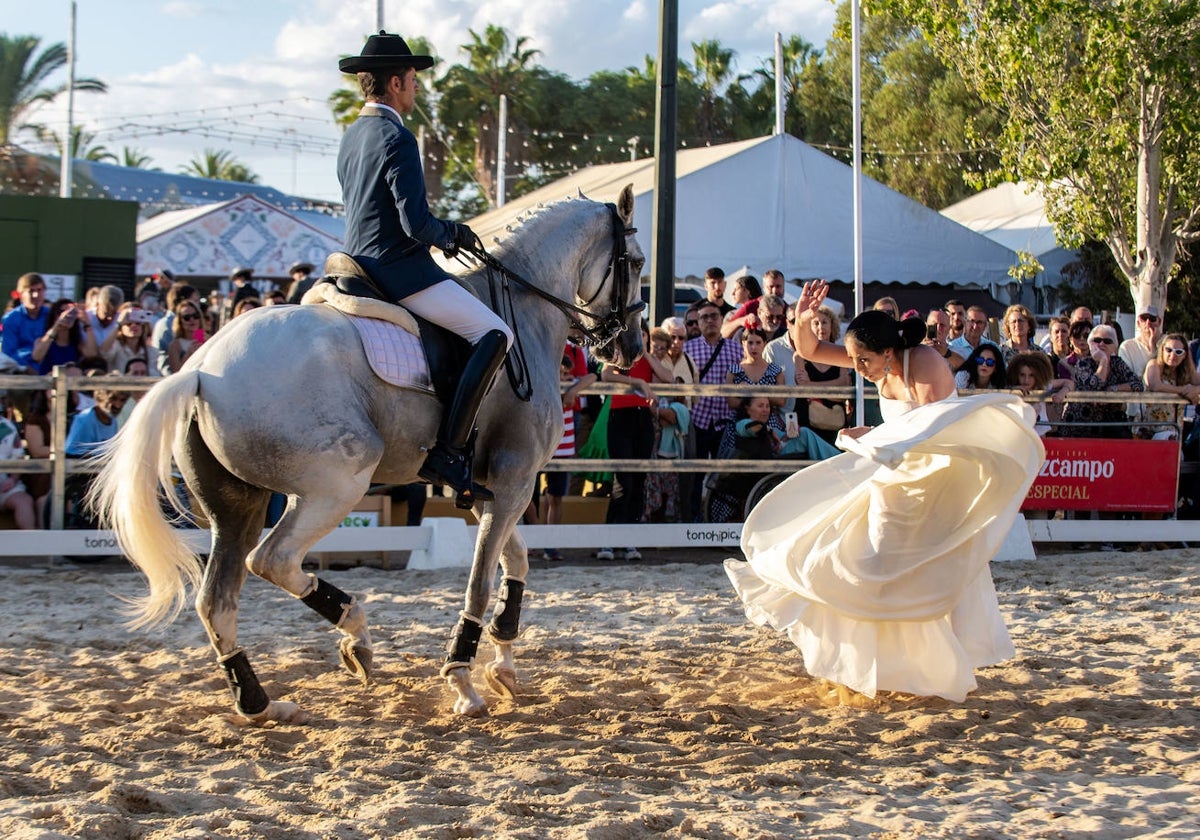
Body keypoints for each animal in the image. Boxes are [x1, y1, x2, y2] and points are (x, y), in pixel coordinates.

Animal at [91, 184, 648, 720]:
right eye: (639, 262)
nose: (631, 349)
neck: (525, 311)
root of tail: (201, 370)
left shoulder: (492, 488)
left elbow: (517, 561)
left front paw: (503, 665)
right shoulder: (515, 480)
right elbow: (482, 582)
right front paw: (464, 681)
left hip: (236, 505)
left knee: (217, 603)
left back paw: (261, 704)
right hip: (339, 483)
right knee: (271, 559)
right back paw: (355, 632)